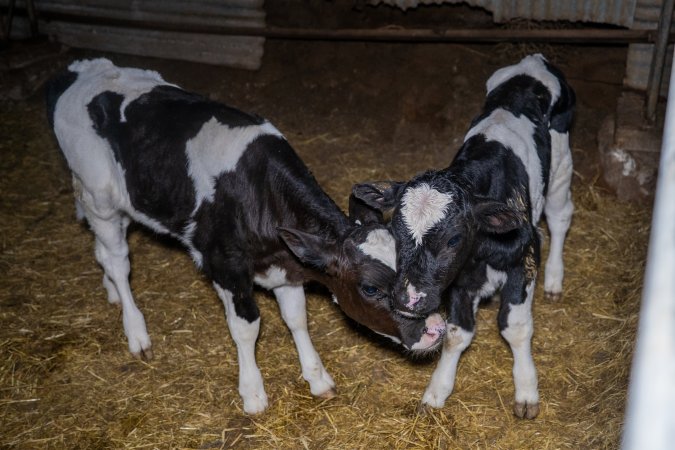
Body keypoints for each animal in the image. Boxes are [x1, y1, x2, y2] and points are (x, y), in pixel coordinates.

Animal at [46, 58, 446, 414]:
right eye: (370, 289)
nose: (436, 328)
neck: (261, 193)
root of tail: (82, 70)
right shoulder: (224, 265)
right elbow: (246, 328)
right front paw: (252, 393)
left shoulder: (287, 264)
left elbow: (297, 319)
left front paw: (317, 378)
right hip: (99, 198)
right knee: (118, 261)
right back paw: (136, 332)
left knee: (104, 253)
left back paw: (112, 293)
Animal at [352, 54, 575, 419]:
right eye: (395, 232)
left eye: (454, 239)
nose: (409, 299)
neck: (481, 253)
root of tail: (534, 59)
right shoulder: (457, 281)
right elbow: (458, 333)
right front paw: (437, 390)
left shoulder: (524, 259)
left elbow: (515, 327)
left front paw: (527, 390)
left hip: (561, 168)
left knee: (559, 217)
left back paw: (555, 279)